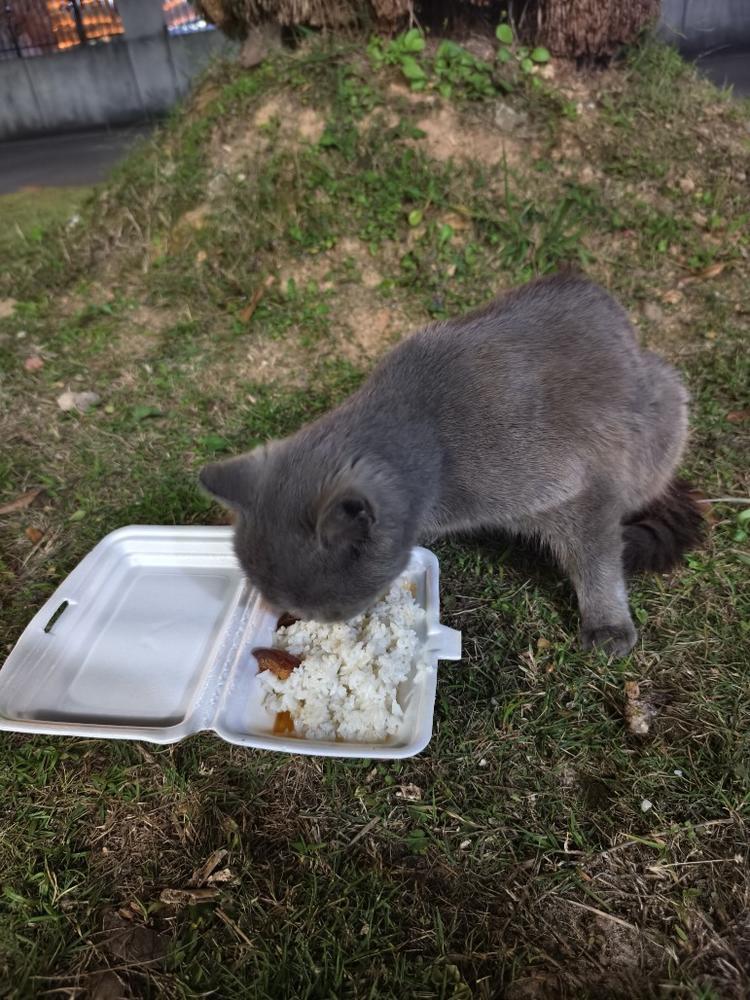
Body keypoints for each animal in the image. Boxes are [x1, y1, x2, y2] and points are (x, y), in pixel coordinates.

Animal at [200, 272, 704, 656]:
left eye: (325, 610)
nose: (301, 622)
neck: (434, 443)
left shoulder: (582, 491)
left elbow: (597, 560)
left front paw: (608, 626)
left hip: (663, 409)